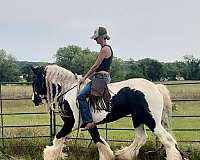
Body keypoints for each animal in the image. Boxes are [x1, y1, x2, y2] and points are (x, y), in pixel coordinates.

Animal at [31, 64, 186, 159]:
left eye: (35, 81)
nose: (34, 100)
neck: (70, 90)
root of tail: (156, 87)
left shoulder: (70, 124)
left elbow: (57, 139)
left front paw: (49, 155)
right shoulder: (89, 124)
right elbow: (99, 140)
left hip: (151, 120)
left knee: (167, 140)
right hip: (137, 118)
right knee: (141, 138)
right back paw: (123, 155)